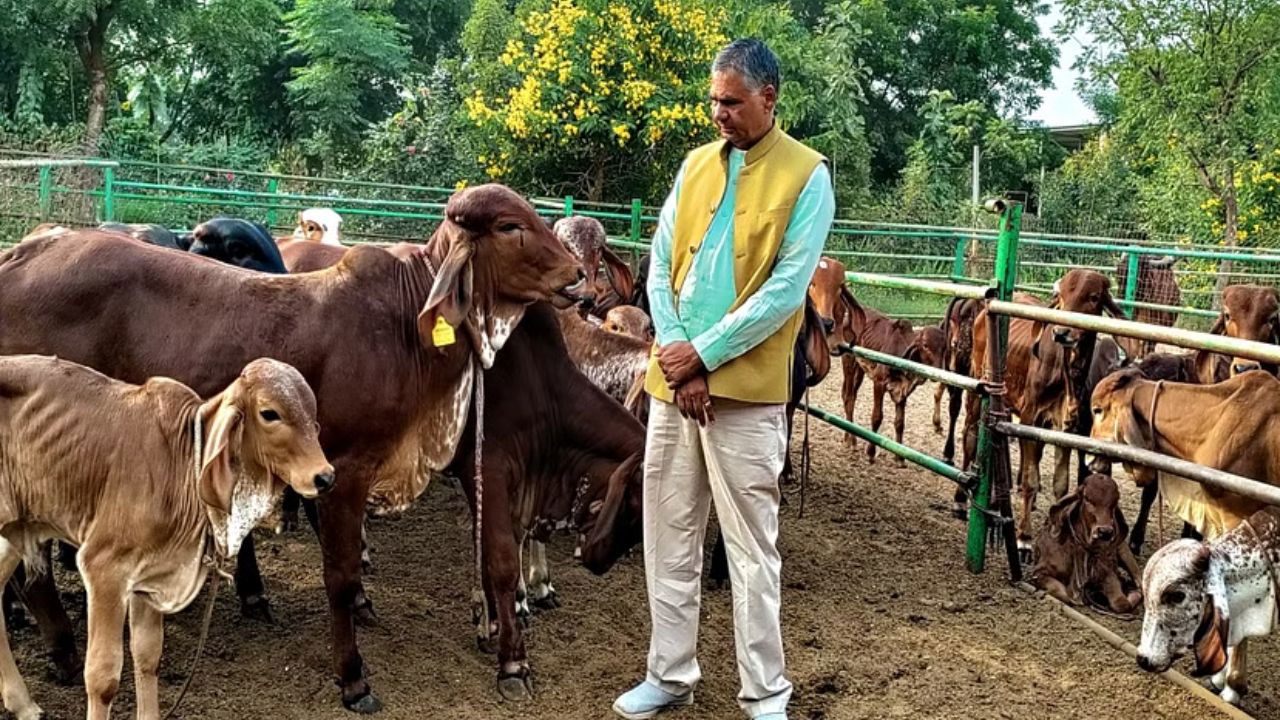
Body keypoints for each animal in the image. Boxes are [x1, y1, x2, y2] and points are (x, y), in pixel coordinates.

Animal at [0, 353, 332, 717]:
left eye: (312, 413)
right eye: (270, 413)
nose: (324, 477)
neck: (182, 464)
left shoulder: (151, 576)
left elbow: (148, 657)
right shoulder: (104, 569)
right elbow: (103, 678)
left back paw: (22, 704)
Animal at [967, 269, 1121, 548]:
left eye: (1093, 297)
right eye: (1061, 295)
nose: (1061, 332)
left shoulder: (1064, 428)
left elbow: (1060, 484)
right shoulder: (1031, 417)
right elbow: (1031, 479)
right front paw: (1024, 536)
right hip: (977, 385)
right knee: (971, 433)